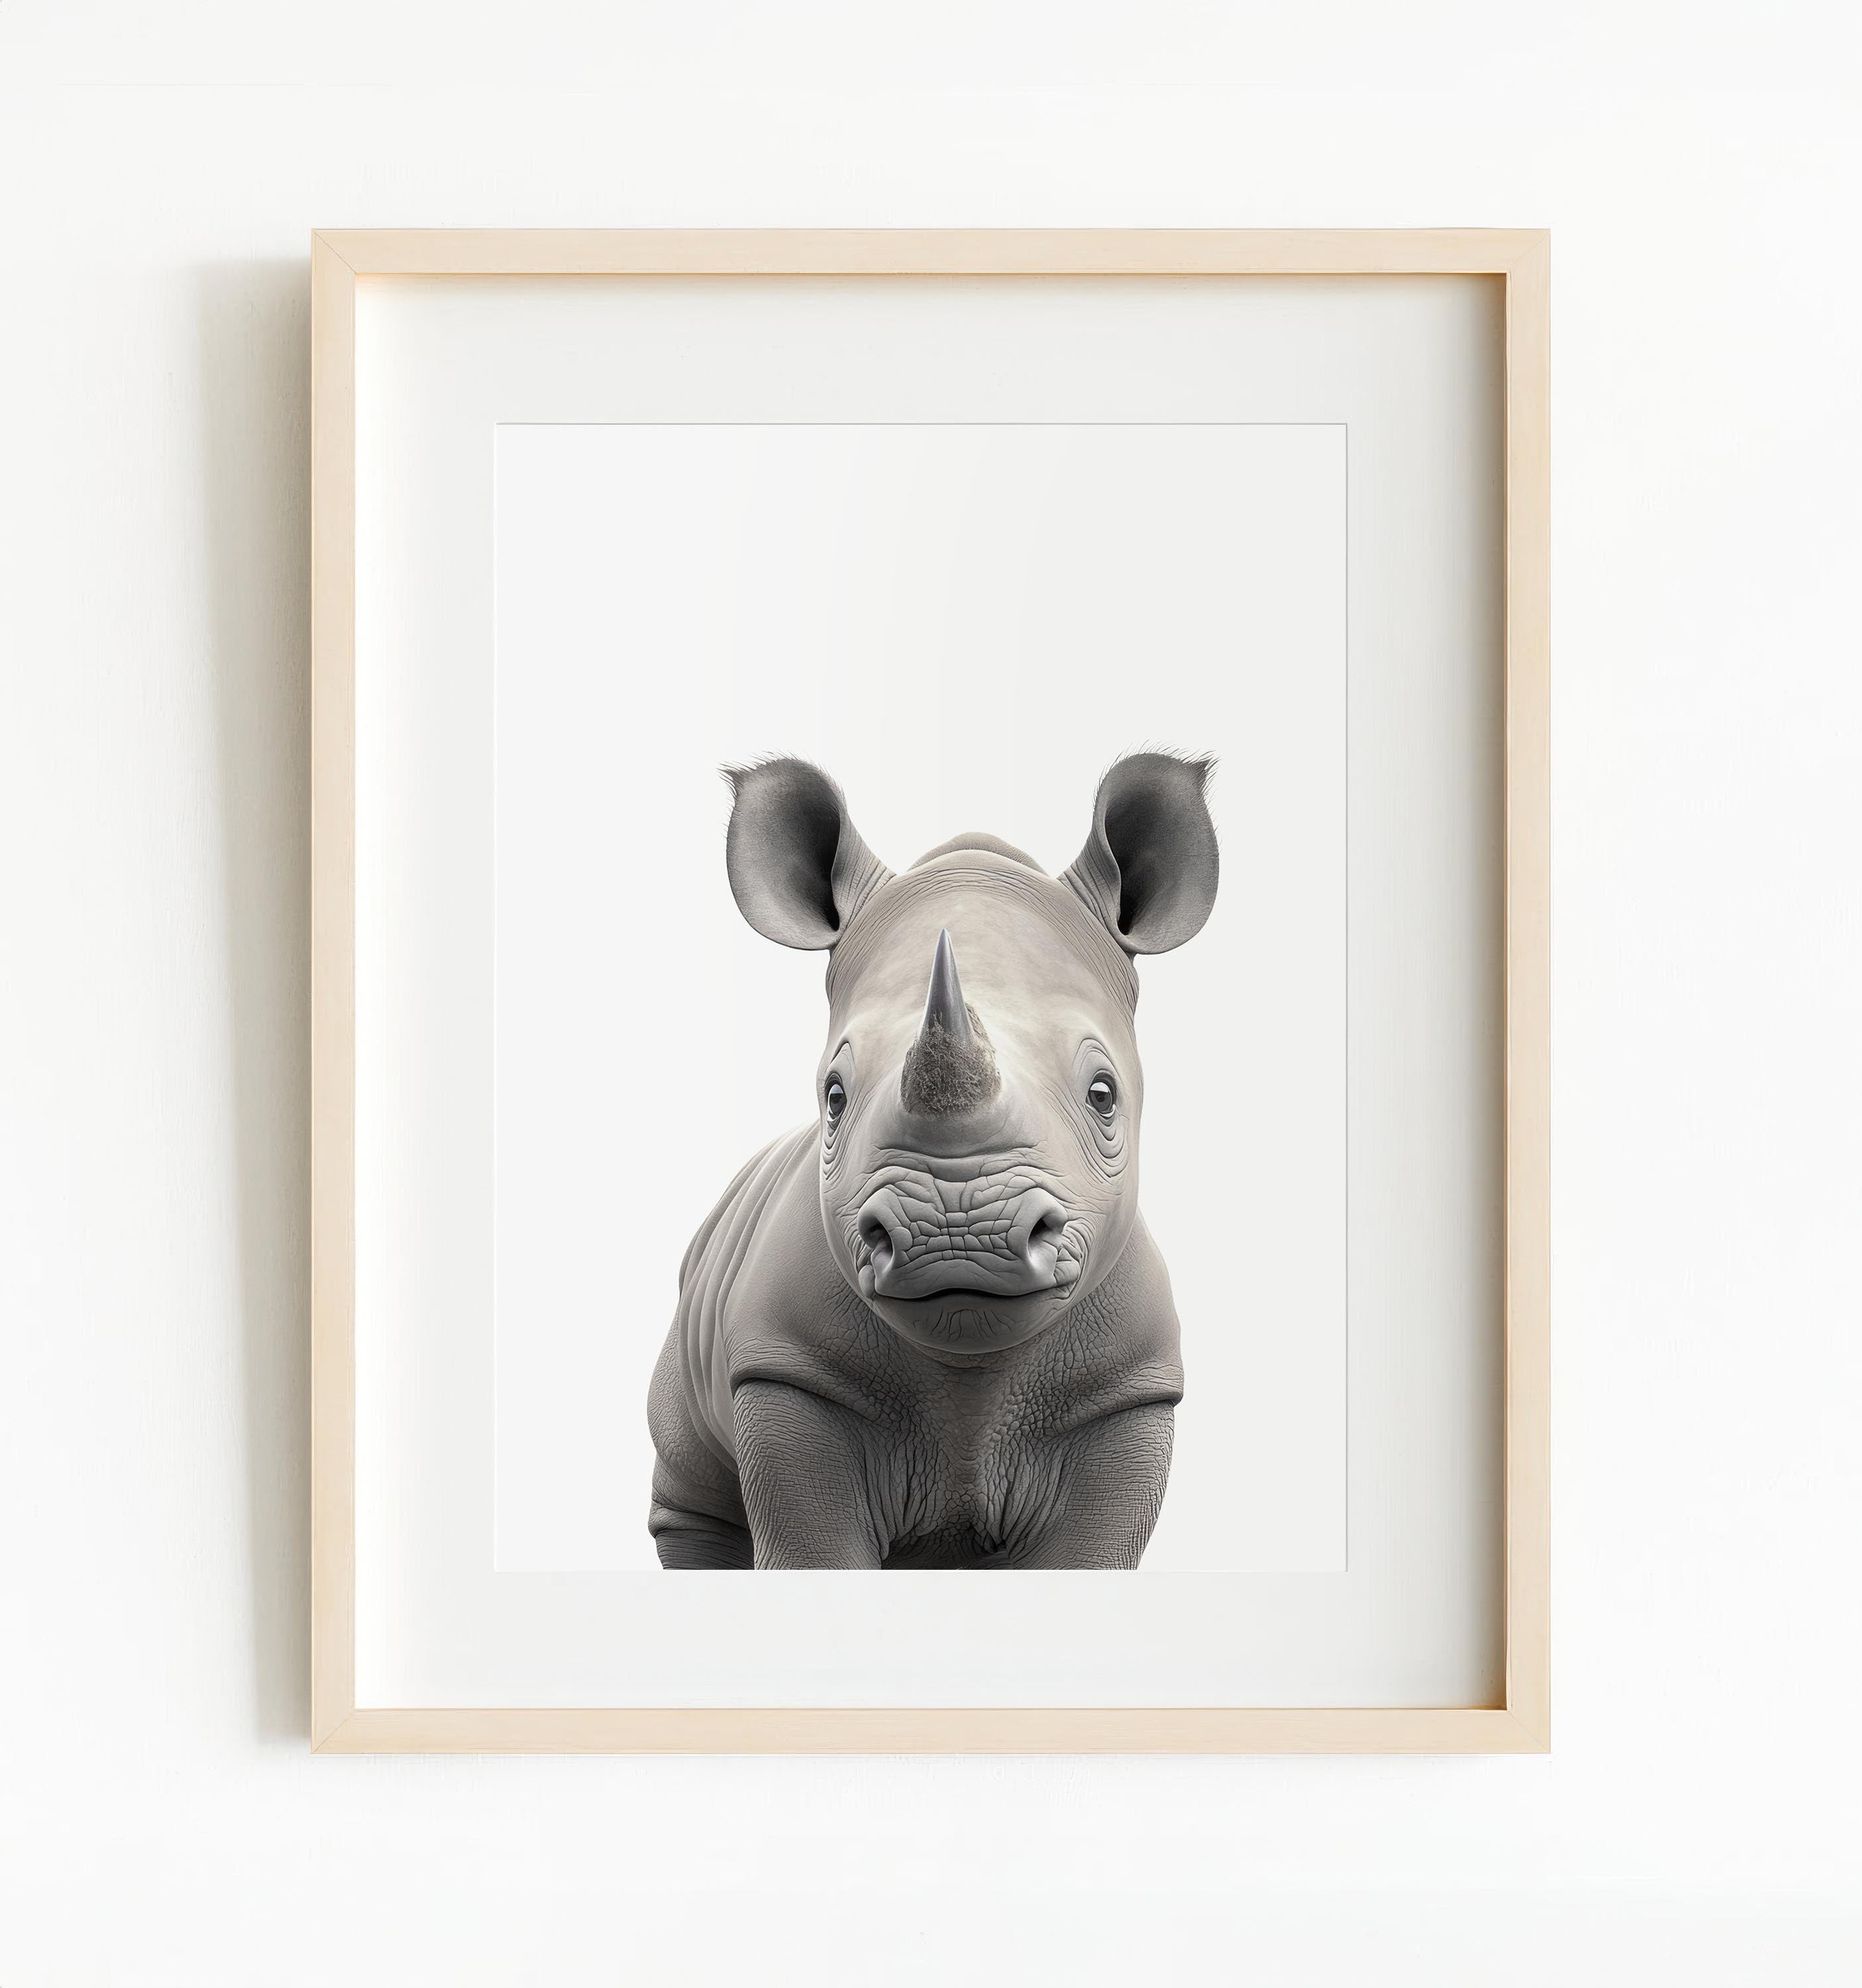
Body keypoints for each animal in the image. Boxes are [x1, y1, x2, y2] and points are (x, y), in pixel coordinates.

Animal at [647, 752, 1219, 1569]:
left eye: (1104, 1095)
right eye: (833, 1097)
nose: (958, 1234)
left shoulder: (1125, 1392)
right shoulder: (790, 1372)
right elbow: (812, 1547)